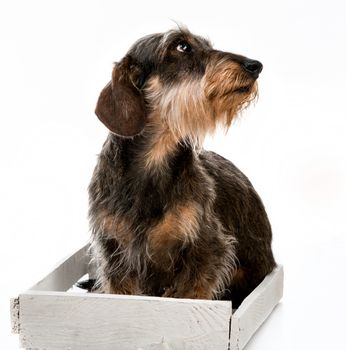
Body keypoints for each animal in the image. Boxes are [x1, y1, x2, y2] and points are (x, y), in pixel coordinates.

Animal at [88, 27, 276, 308]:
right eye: (181, 46)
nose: (255, 66)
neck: (154, 161)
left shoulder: (206, 249)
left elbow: (192, 292)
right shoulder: (115, 254)